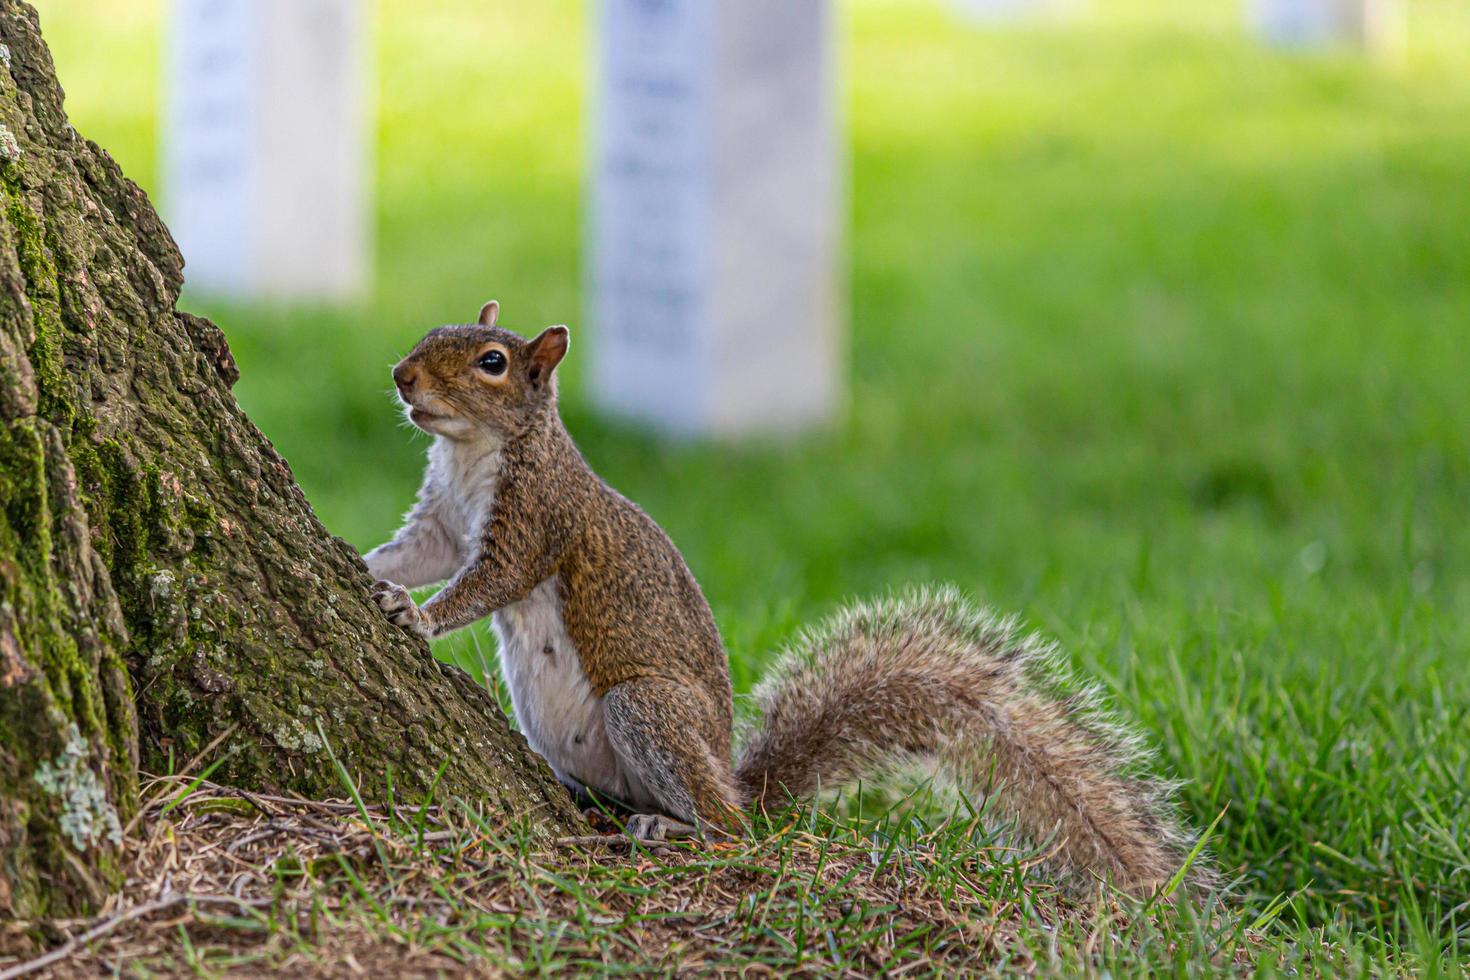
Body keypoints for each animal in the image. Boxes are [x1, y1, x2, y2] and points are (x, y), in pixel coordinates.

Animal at [361, 301, 1199, 899]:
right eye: (431, 332)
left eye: (492, 363)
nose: (400, 375)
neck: (471, 456)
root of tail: (743, 785)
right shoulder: (442, 521)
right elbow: (417, 555)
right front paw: (370, 567)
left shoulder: (539, 522)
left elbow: (487, 582)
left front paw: (418, 616)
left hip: (648, 709)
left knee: (730, 829)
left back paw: (678, 828)